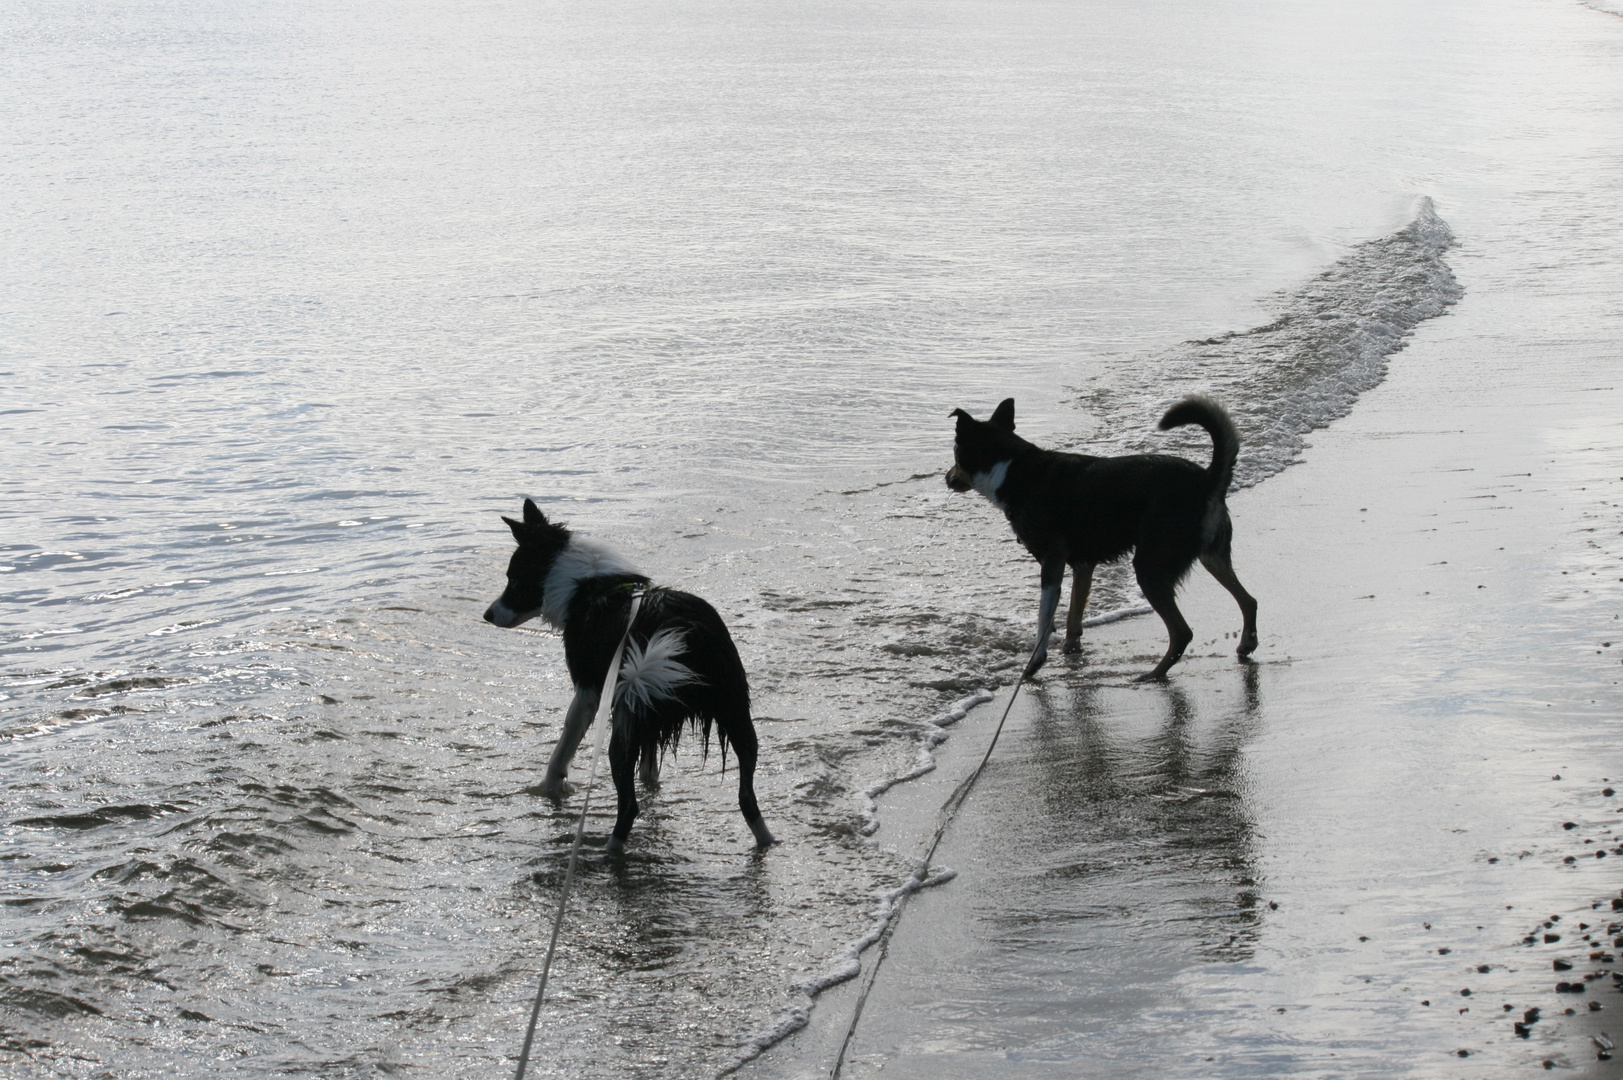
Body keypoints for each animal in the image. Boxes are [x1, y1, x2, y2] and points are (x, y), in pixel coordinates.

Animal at [480, 500, 772, 857]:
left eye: (513, 579)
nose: (488, 615)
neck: (583, 584)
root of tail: (689, 635)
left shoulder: (590, 693)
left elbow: (562, 748)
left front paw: (548, 788)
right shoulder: (647, 710)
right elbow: (650, 757)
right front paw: (651, 779)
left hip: (625, 723)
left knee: (629, 806)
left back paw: (608, 850)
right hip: (734, 715)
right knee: (748, 799)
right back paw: (766, 840)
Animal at [947, 396, 1259, 682]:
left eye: (955, 454)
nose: (947, 478)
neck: (1012, 468)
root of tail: (1207, 480)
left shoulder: (1052, 560)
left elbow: (1044, 618)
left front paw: (1036, 662)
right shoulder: (1083, 565)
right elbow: (1074, 613)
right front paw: (1071, 649)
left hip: (1152, 565)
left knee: (1182, 631)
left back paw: (1153, 674)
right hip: (1212, 557)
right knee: (1249, 600)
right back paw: (1246, 643)